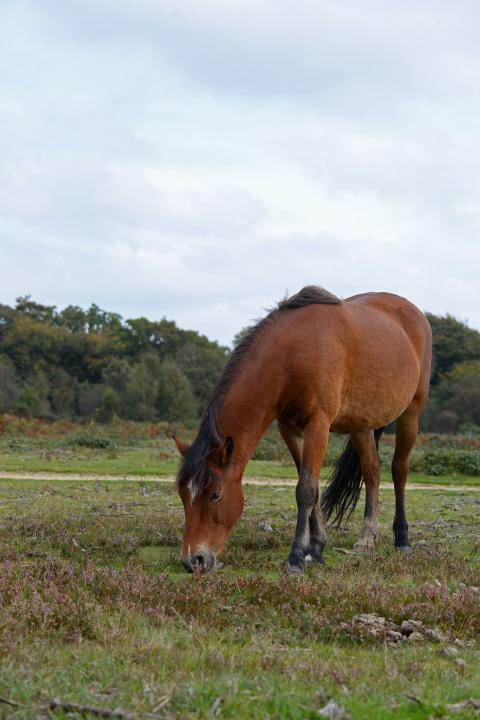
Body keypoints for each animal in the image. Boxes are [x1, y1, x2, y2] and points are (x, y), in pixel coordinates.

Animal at [174, 286, 434, 572]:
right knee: (372, 471)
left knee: (399, 469)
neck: (293, 354)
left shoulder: (318, 425)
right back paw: (366, 539)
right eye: (183, 494)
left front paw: (297, 556)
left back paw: (402, 539)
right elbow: (312, 486)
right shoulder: (289, 428)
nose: (193, 560)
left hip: (411, 413)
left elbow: (306, 490)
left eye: (215, 495)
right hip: (362, 423)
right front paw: (317, 549)